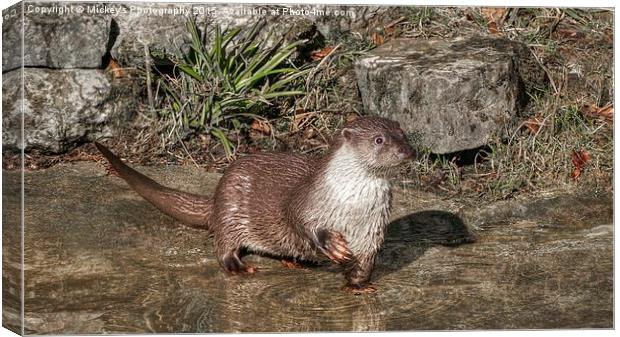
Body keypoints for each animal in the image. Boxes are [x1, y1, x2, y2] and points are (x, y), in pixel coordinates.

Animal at [97, 117, 414, 292]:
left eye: (403, 134)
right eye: (379, 140)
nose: (406, 150)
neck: (352, 205)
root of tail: (215, 197)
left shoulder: (372, 227)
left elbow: (366, 260)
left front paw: (359, 285)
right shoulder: (307, 200)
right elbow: (299, 218)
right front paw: (331, 244)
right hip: (230, 208)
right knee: (222, 244)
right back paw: (237, 266)